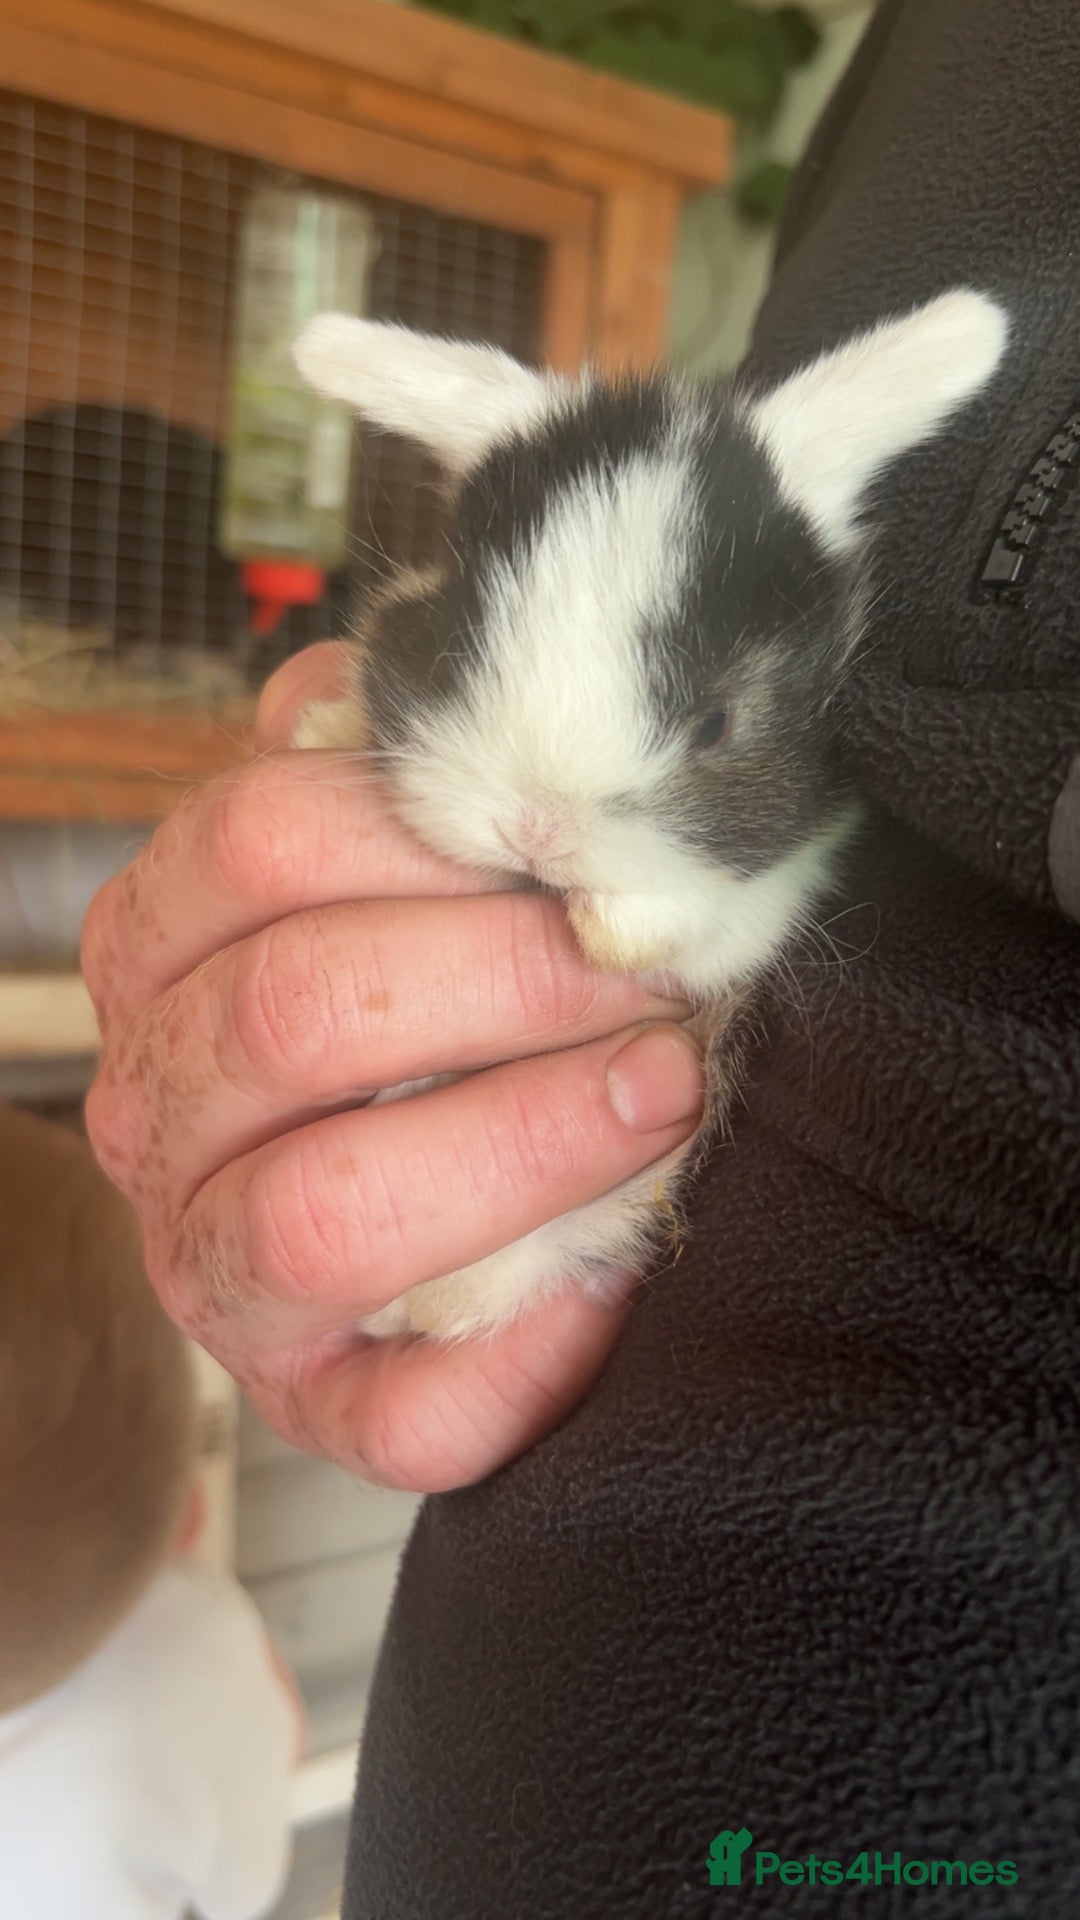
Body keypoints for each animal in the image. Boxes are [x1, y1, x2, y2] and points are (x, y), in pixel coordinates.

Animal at [289, 290, 1009, 1340]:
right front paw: (318, 728)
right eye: (461, 644)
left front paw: (611, 931)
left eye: (715, 722)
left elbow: (701, 922)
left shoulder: (779, 885)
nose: (537, 832)